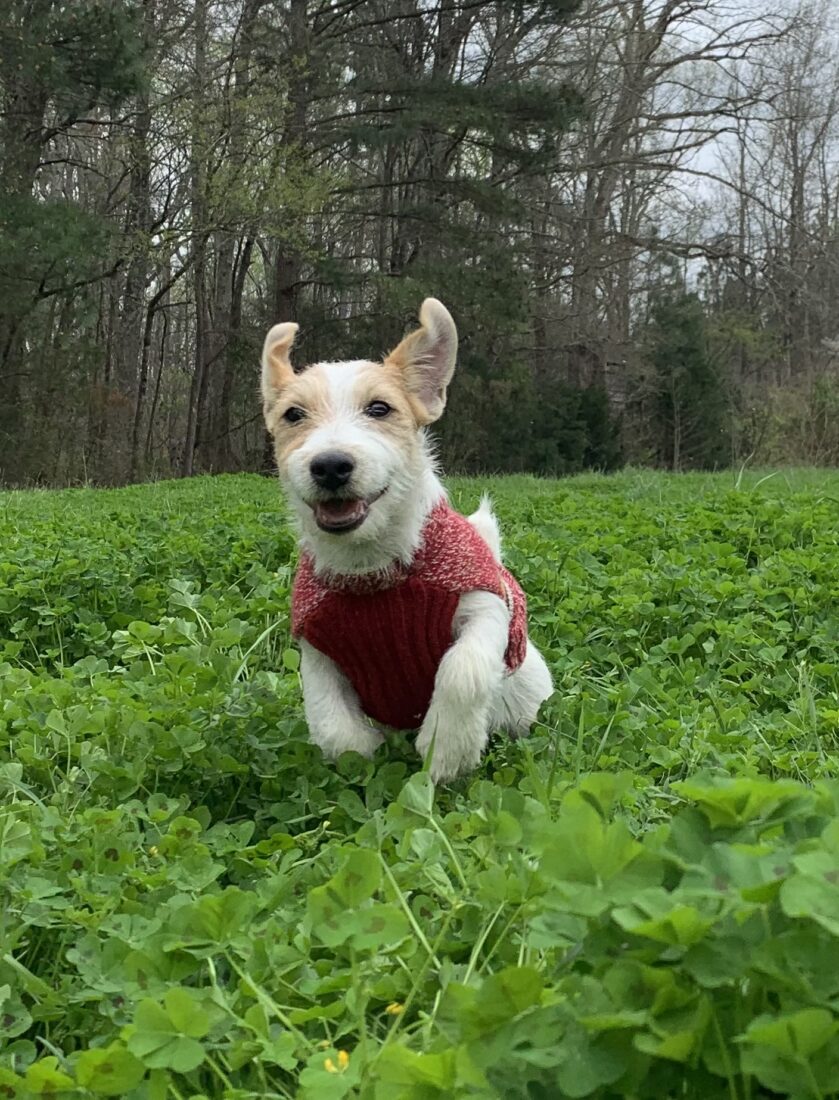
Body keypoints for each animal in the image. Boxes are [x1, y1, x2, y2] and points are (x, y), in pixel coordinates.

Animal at [259, 297, 554, 783]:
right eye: (293, 415)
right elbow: (329, 718)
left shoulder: (485, 605)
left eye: (380, 409)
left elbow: (462, 670)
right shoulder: (317, 646)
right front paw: (360, 754)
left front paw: (447, 749)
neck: (373, 567)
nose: (330, 465)